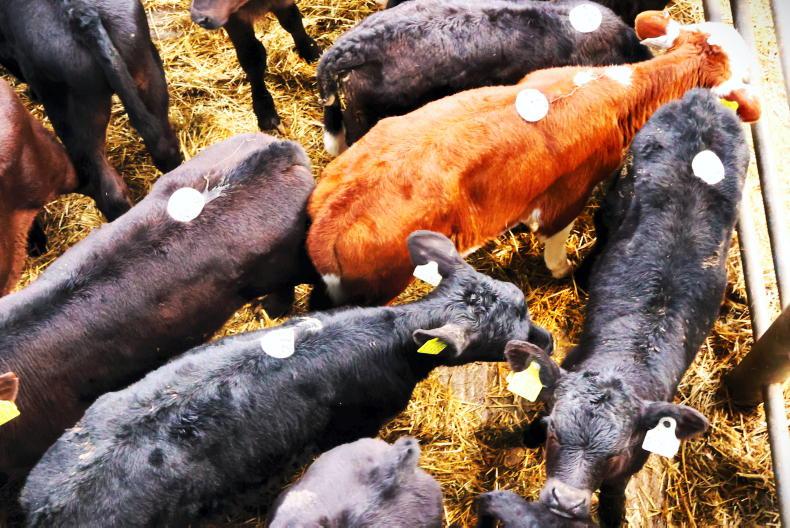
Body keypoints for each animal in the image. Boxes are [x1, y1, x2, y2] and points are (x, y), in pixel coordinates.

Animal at [189, 0, 321, 132]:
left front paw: (310, 51)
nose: (198, 17)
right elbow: (252, 56)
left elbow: (292, 21)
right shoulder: (235, 21)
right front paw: (265, 111)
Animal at [508, 89, 749, 527]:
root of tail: (703, 101)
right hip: (617, 192)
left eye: (616, 452)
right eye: (554, 432)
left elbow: (615, 496)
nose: (565, 501)